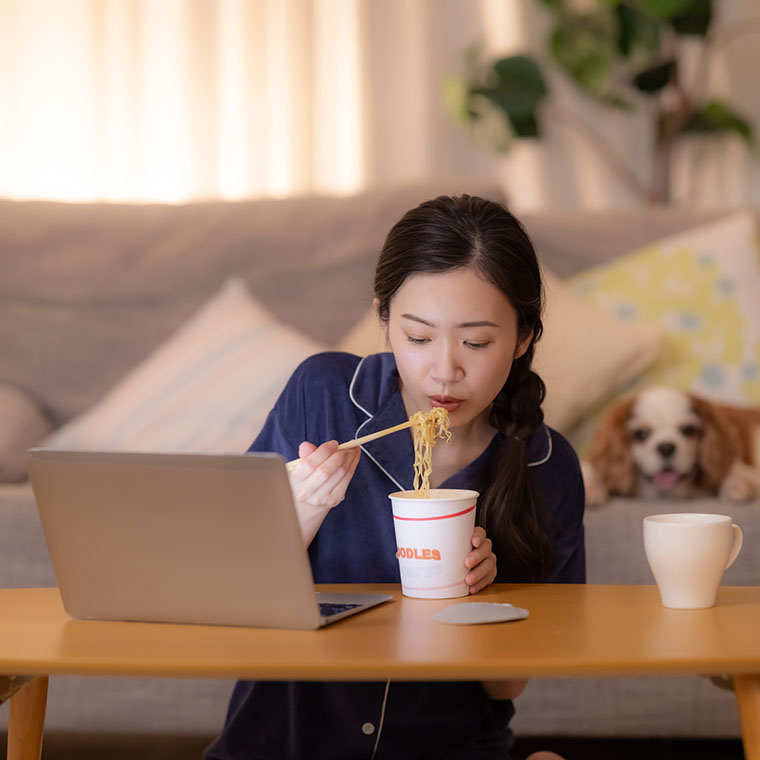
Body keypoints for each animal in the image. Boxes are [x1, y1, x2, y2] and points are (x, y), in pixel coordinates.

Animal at [580, 388, 760, 508]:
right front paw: (592, 487)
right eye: (641, 433)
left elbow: (736, 473)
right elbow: (590, 468)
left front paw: (736, 486)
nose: (666, 447)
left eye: (688, 430)